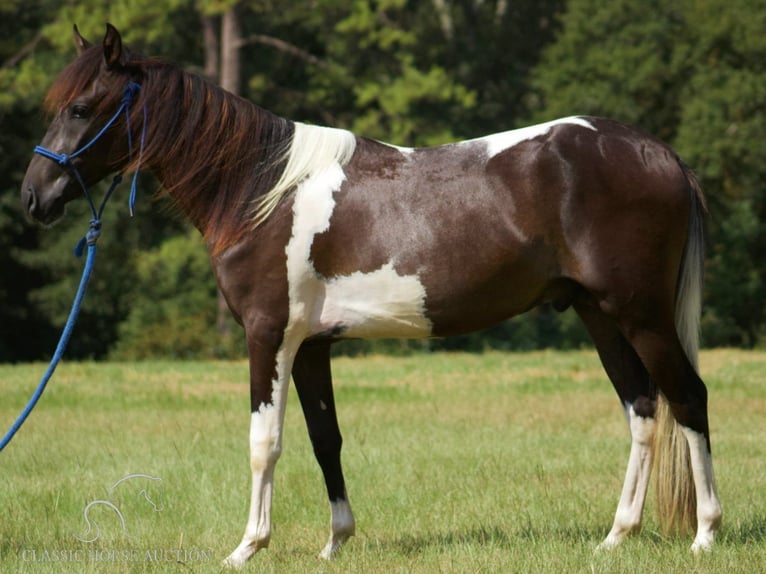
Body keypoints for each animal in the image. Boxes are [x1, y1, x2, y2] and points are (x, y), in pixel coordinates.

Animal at [21, 24, 724, 568]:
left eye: (81, 107)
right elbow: (324, 438)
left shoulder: (268, 335)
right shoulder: (311, 346)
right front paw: (336, 542)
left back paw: (706, 535)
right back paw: (616, 536)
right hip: (598, 314)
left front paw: (248, 547)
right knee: (642, 408)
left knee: (687, 398)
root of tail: (659, 154)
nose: (34, 196)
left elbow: (263, 442)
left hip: (641, 314)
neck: (260, 190)